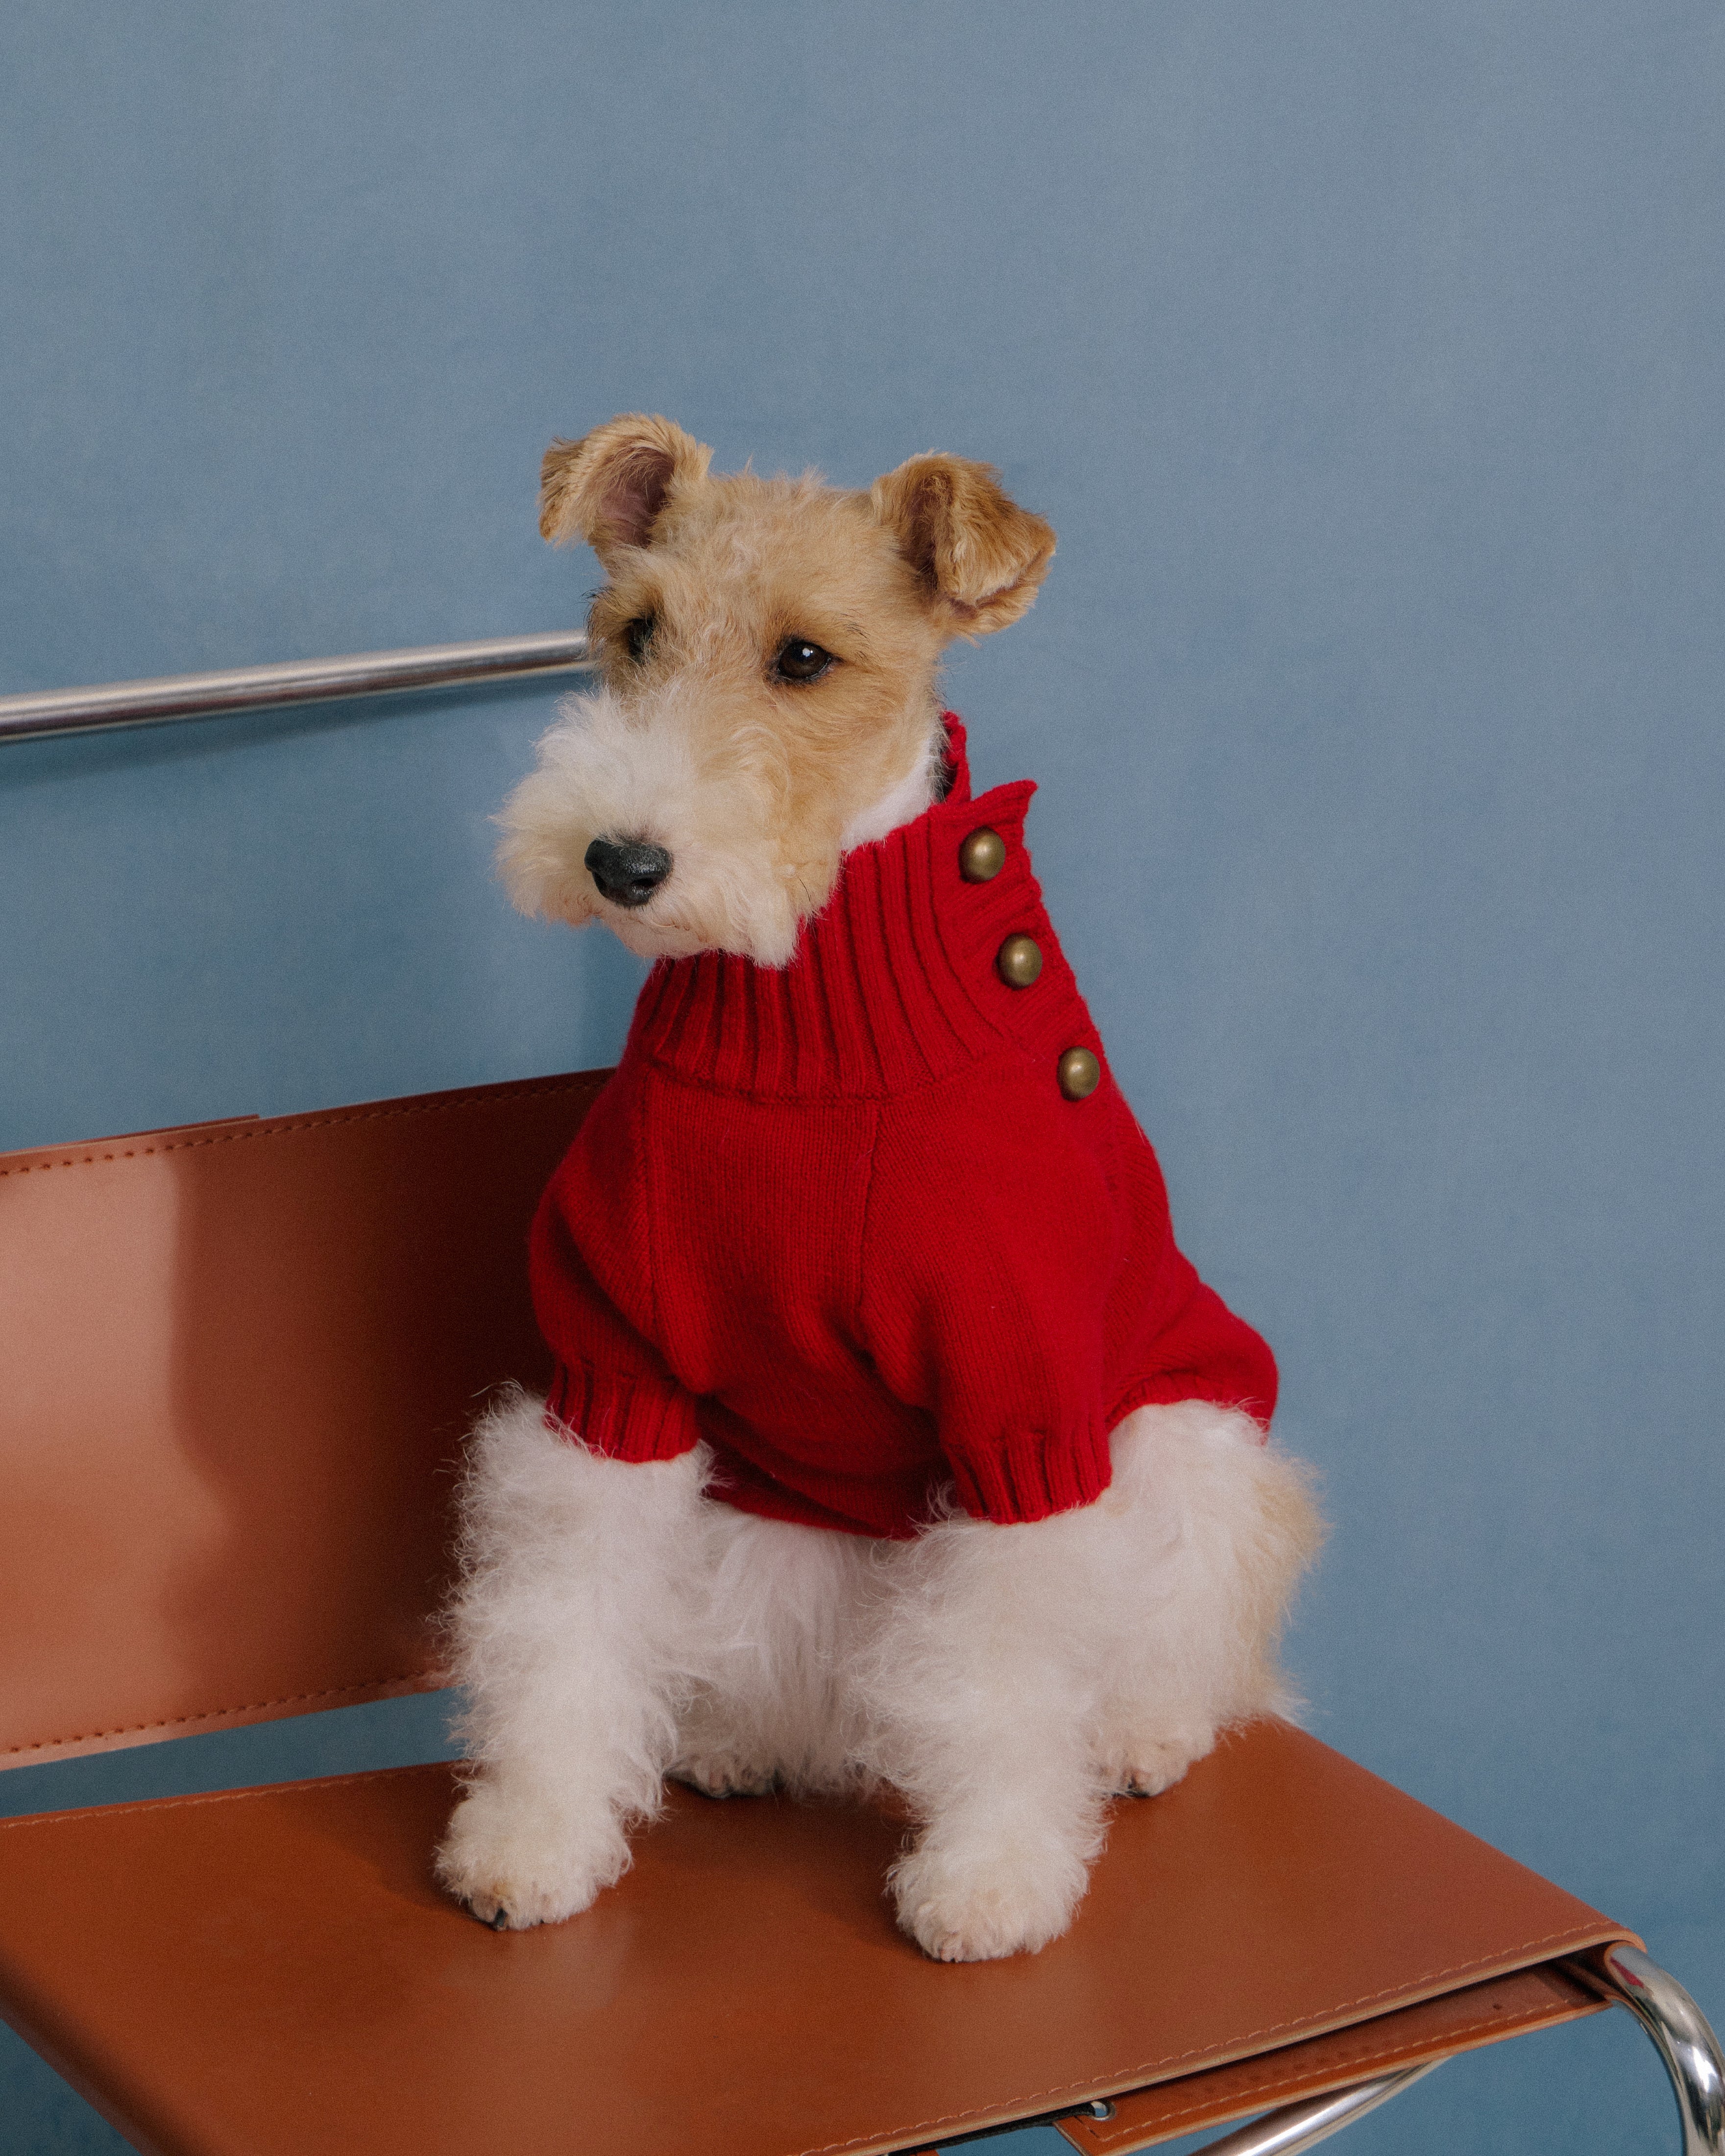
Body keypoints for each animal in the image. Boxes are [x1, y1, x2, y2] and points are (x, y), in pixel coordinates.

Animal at [436, 412, 1319, 1966]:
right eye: (635, 631)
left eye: (805, 658)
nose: (621, 860)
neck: (808, 1010)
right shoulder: (616, 1371)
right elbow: (562, 1615)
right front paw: (530, 1839)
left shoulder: (1024, 1404)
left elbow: (1014, 1662)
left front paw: (991, 1879)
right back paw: (741, 1739)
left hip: (1188, 1442)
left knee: (1168, 1647)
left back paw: (1138, 1735)